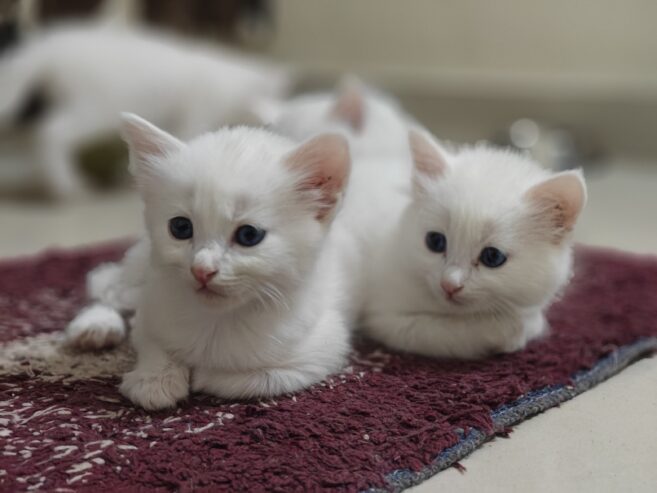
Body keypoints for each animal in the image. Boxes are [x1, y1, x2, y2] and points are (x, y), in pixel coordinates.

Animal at [69, 113, 352, 410]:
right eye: (181, 227)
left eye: (249, 235)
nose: (202, 270)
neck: (218, 321)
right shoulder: (152, 307)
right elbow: (151, 339)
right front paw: (155, 378)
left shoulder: (322, 349)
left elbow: (253, 378)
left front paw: (202, 373)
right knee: (111, 289)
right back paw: (96, 325)